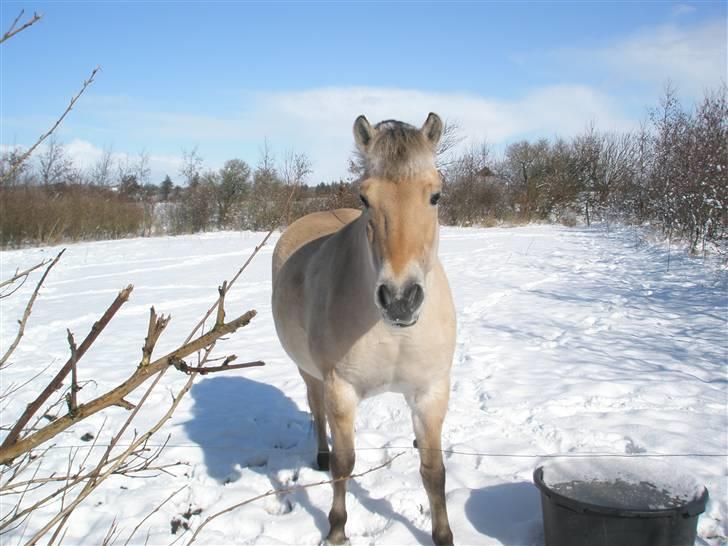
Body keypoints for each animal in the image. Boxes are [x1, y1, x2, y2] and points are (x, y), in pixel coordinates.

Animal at [272, 112, 456, 540]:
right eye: (365, 198)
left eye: (436, 195)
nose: (401, 298)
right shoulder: (341, 390)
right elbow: (344, 465)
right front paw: (337, 531)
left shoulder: (430, 393)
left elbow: (433, 472)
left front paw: (443, 536)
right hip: (310, 374)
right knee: (316, 411)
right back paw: (320, 455)